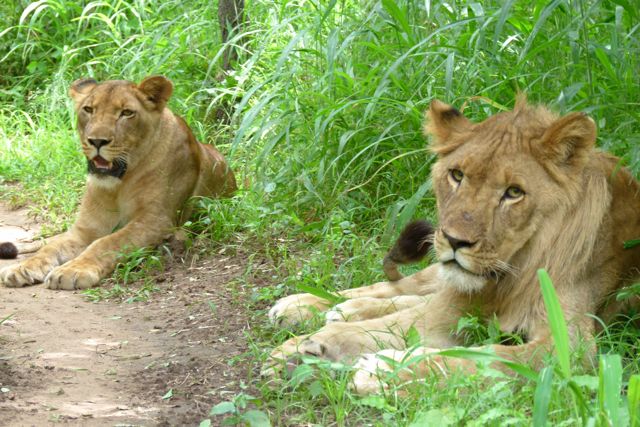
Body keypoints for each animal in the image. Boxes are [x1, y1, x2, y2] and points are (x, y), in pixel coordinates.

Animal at [0, 76, 236, 290]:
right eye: (89, 109)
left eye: (126, 113)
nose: (96, 141)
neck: (119, 184)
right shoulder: (86, 227)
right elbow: (51, 247)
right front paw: (22, 267)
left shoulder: (156, 221)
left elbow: (107, 242)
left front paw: (72, 270)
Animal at [265, 98, 640, 394]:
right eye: (457, 175)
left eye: (514, 192)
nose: (456, 240)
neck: (515, 272)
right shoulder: (450, 311)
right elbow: (379, 328)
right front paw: (303, 349)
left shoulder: (571, 351)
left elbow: (490, 358)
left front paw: (386, 370)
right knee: (403, 288)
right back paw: (305, 305)